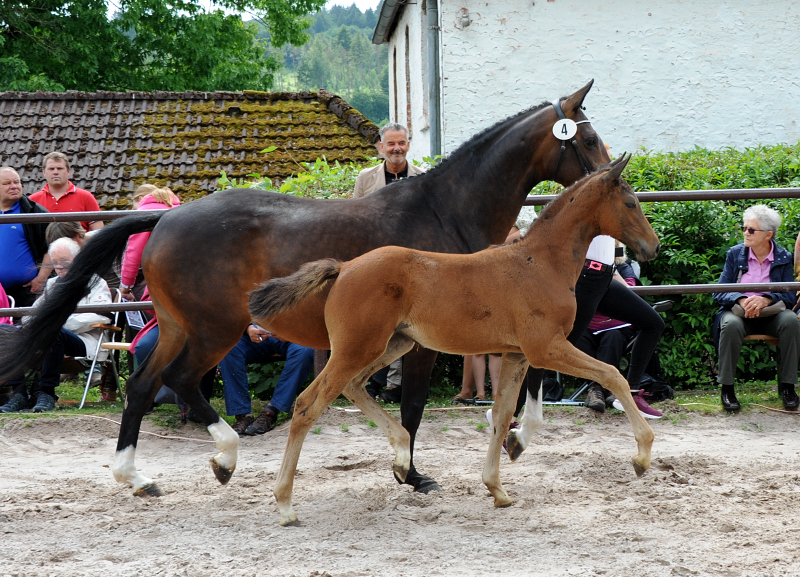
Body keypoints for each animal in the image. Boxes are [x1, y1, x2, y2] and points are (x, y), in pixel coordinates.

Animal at [252, 154, 664, 528]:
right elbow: (612, 374)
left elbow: (502, 414)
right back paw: (286, 505)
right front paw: (642, 457)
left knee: (353, 387)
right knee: (308, 404)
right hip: (358, 348)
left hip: (392, 345)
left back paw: (401, 458)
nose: (654, 247)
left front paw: (497, 488)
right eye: (630, 202)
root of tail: (344, 267)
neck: (539, 263)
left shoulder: (517, 355)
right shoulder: (546, 347)